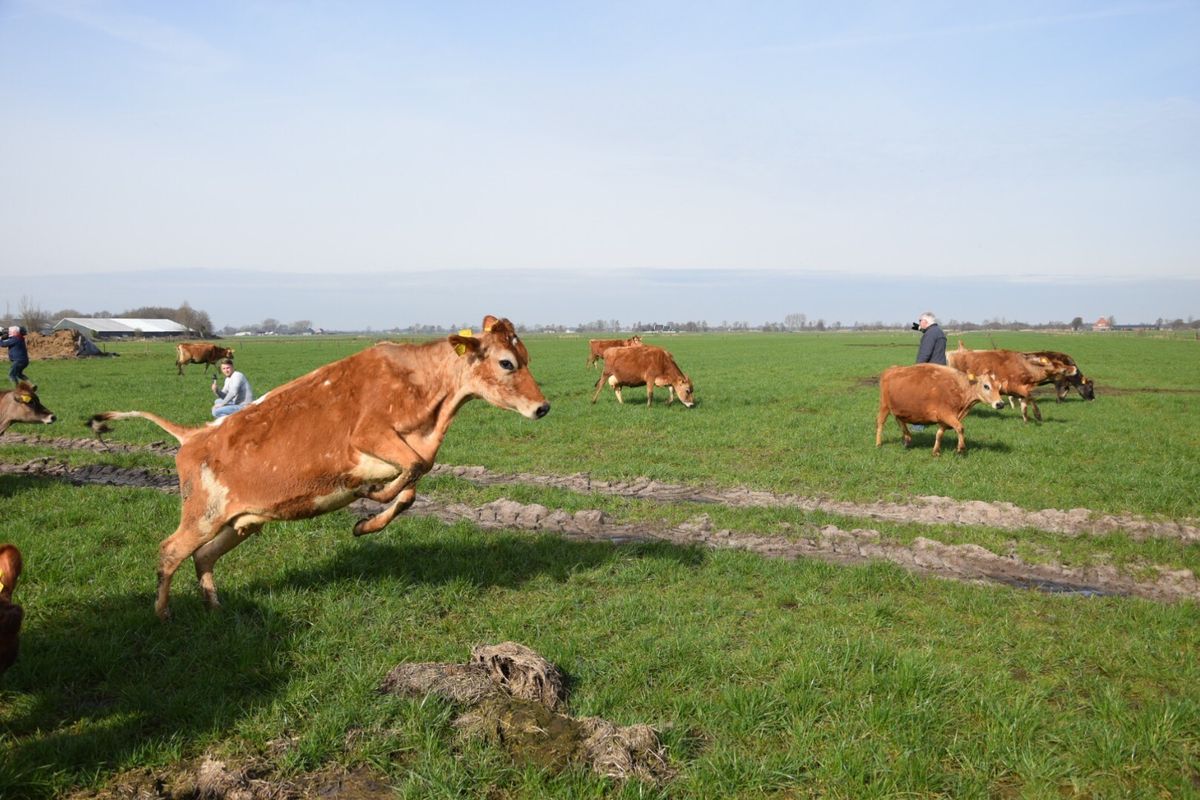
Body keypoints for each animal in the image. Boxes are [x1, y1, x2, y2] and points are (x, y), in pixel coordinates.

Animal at [89, 316, 550, 620]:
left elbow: (413, 485)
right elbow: (416, 466)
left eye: (528, 356)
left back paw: (215, 606)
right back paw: (163, 614)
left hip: (240, 521)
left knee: (202, 556)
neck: (430, 400)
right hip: (202, 514)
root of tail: (194, 435)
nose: (543, 407)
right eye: (507, 362)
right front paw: (372, 495)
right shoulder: (368, 436)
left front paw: (367, 522)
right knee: (170, 551)